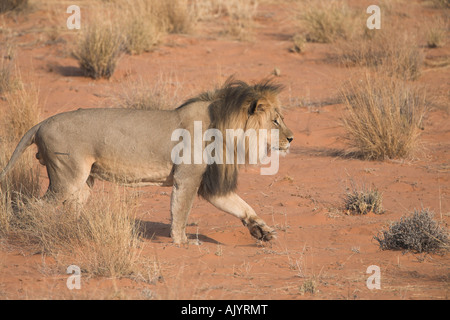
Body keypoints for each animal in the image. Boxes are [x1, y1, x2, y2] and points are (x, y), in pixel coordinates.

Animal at [0, 78, 294, 245]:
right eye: (275, 120)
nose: (292, 138)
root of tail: (41, 123)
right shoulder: (187, 178)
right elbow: (181, 211)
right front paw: (181, 241)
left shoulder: (207, 184)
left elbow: (242, 206)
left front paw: (262, 231)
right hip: (66, 178)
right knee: (31, 206)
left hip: (82, 182)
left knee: (71, 208)